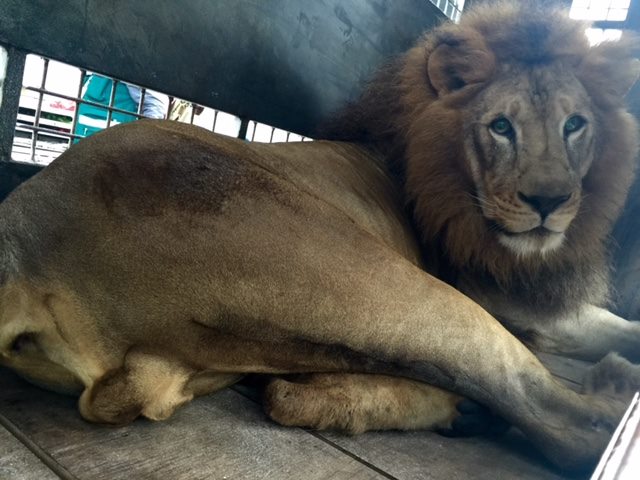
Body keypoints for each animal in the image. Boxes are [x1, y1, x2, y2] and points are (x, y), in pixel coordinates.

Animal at [1, 1, 640, 473]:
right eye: (501, 127)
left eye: (575, 125)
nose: (550, 202)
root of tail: (22, 251)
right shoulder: (502, 295)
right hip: (381, 282)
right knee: (558, 422)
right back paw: (604, 394)